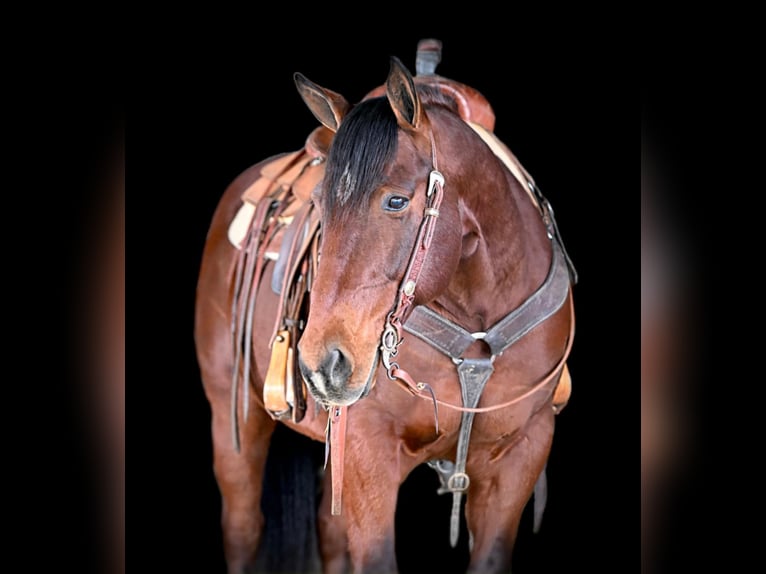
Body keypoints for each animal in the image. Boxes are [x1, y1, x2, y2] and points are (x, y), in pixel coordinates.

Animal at [196, 41, 576, 574]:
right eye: (320, 205)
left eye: (396, 201)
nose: (322, 365)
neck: (476, 321)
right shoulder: (368, 454)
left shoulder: (521, 454)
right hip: (236, 417)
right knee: (244, 526)